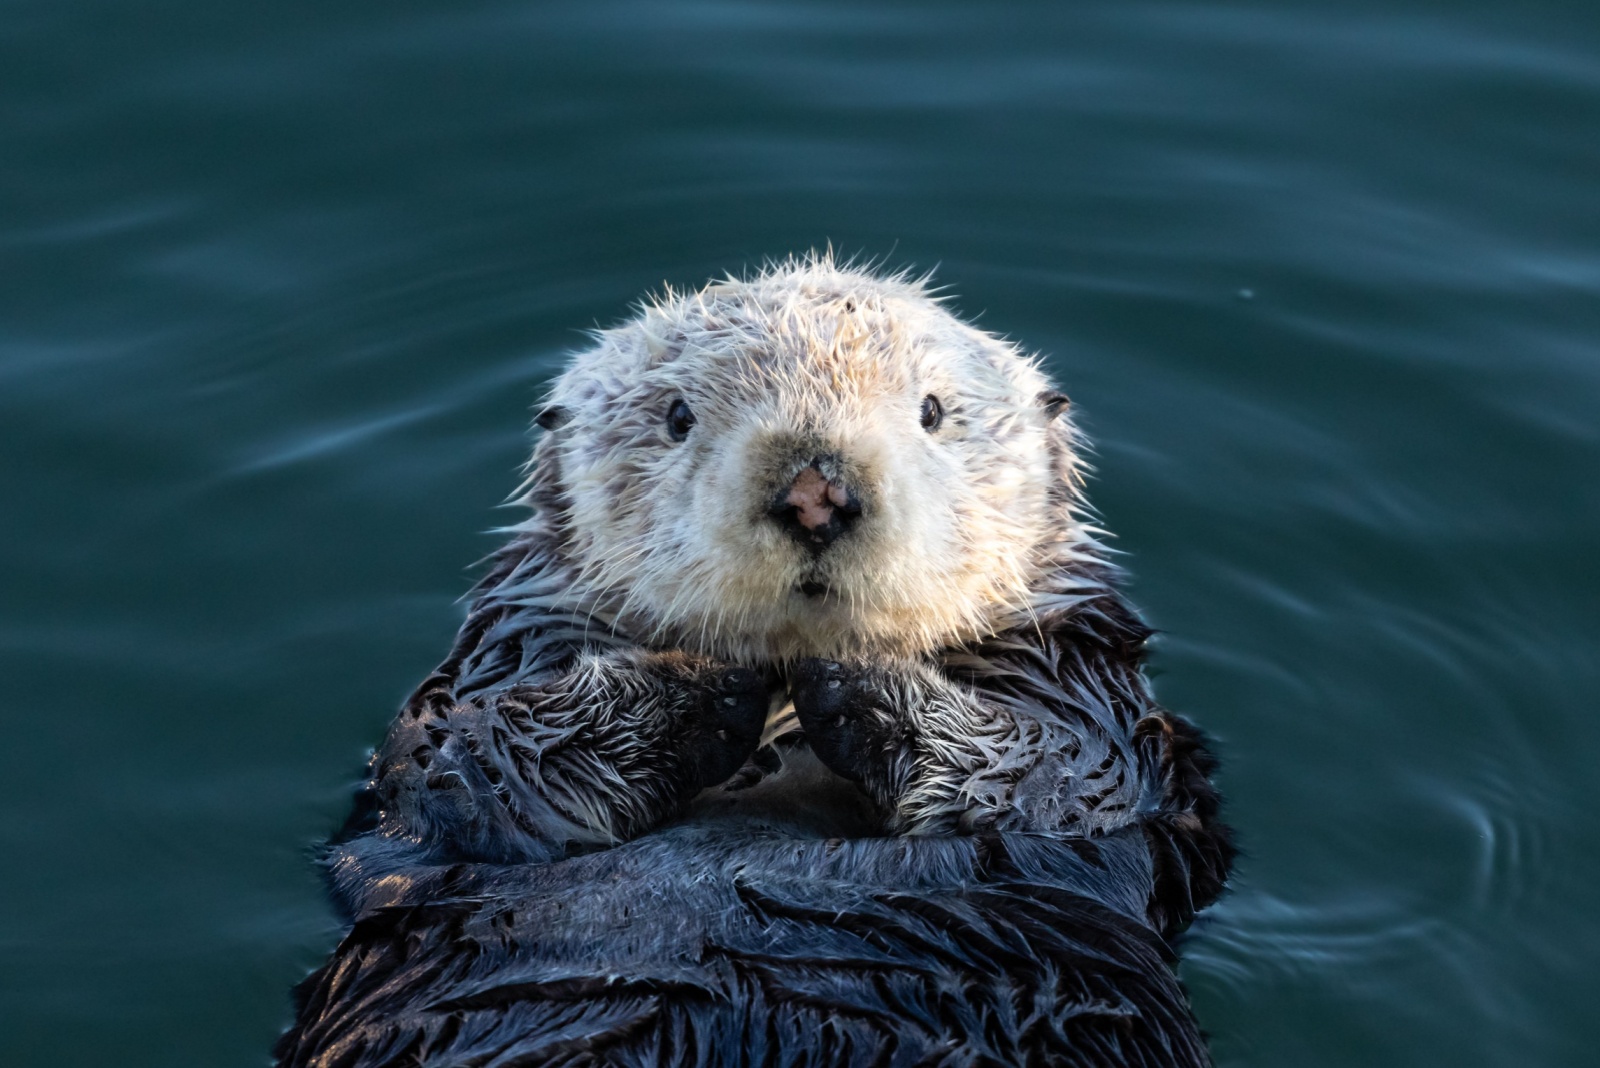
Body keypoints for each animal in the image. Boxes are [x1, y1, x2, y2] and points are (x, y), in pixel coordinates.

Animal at [275, 259, 1235, 1068]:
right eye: (677, 418)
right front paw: (713, 683)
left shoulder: (1099, 707)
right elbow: (472, 764)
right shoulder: (487, 683)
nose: (816, 493)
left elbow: (1058, 775)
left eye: (932, 411)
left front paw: (849, 681)